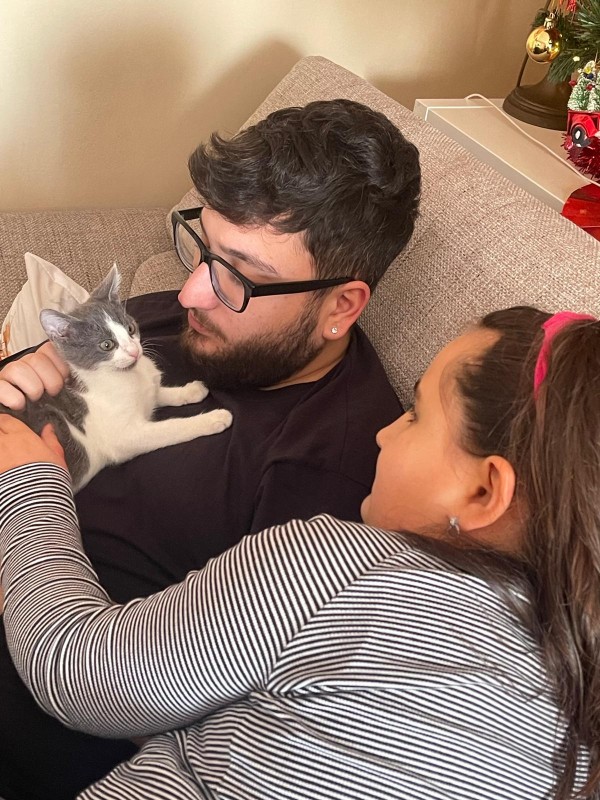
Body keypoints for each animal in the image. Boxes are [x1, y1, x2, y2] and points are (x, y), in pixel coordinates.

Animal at [0, 265, 232, 491]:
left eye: (130, 328)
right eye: (107, 345)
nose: (134, 351)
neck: (127, 376)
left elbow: (158, 392)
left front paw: (190, 390)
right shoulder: (124, 437)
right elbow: (170, 428)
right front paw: (213, 418)